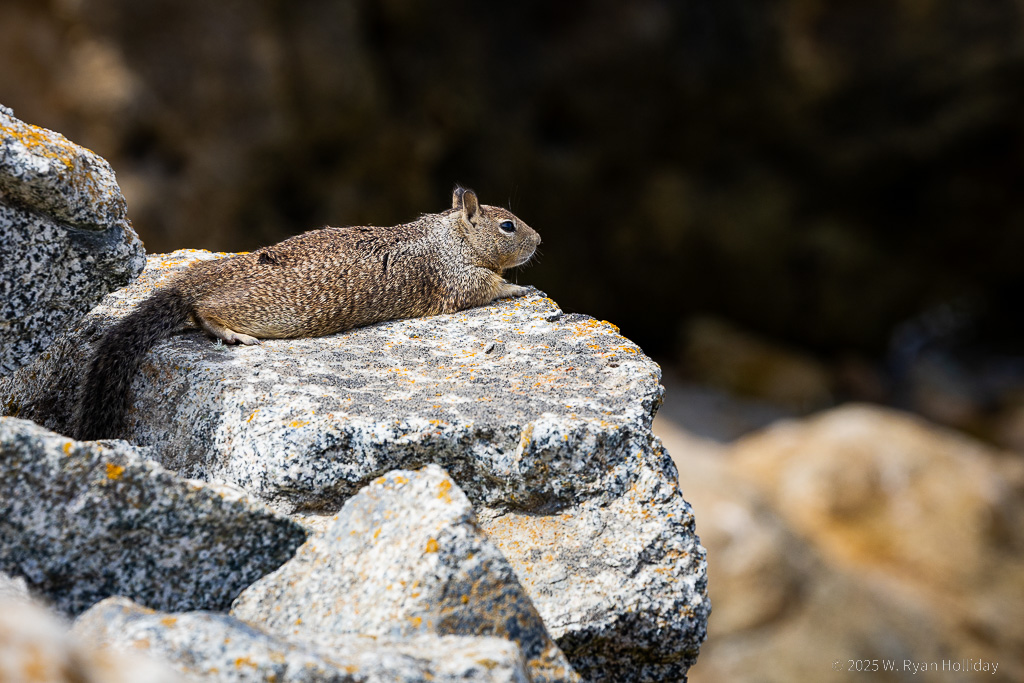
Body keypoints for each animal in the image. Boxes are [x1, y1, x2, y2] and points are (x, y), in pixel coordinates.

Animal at [72, 187, 541, 440]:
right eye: (508, 226)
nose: (540, 239)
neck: (450, 237)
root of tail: (193, 280)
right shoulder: (457, 280)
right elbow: (488, 286)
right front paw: (519, 287)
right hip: (263, 311)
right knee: (203, 312)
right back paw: (230, 333)